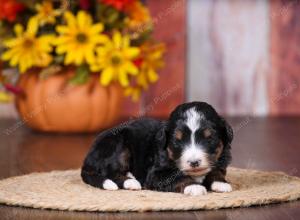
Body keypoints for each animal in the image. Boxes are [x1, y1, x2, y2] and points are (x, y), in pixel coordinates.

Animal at [81, 101, 233, 196]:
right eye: (177, 141)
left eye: (209, 138)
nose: (194, 162)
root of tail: (88, 158)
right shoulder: (155, 174)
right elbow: (178, 177)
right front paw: (194, 186)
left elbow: (216, 171)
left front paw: (221, 183)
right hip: (118, 145)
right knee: (110, 172)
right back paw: (131, 181)